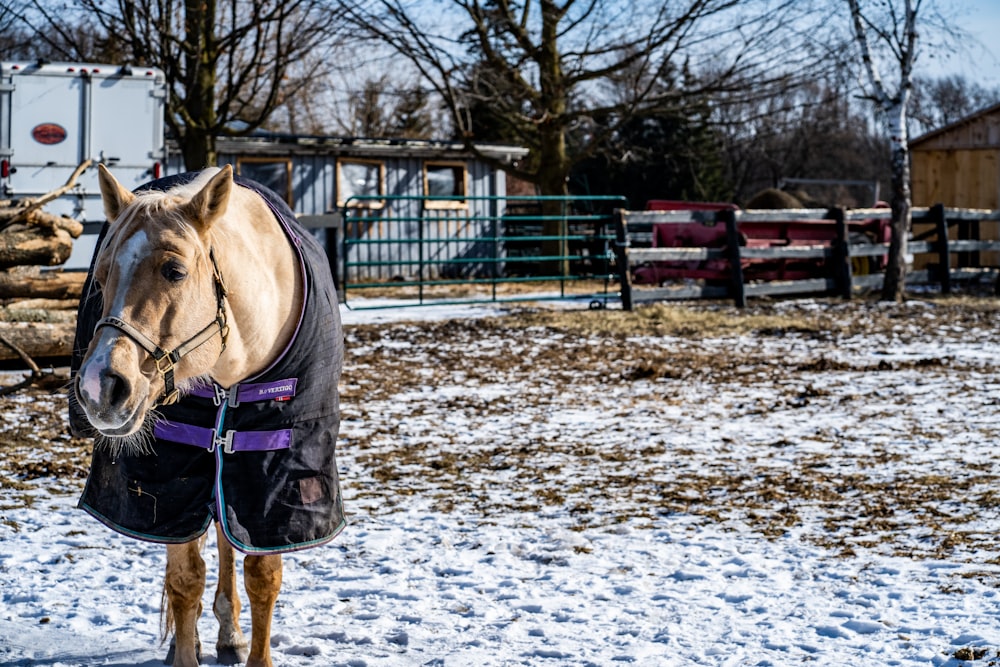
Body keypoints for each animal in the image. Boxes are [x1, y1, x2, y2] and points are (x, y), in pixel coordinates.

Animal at [70, 166, 344, 667]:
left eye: (174, 271)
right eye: (100, 275)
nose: (100, 385)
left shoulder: (272, 472)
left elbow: (260, 575)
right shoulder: (173, 465)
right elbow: (184, 579)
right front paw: (184, 649)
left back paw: (229, 633)